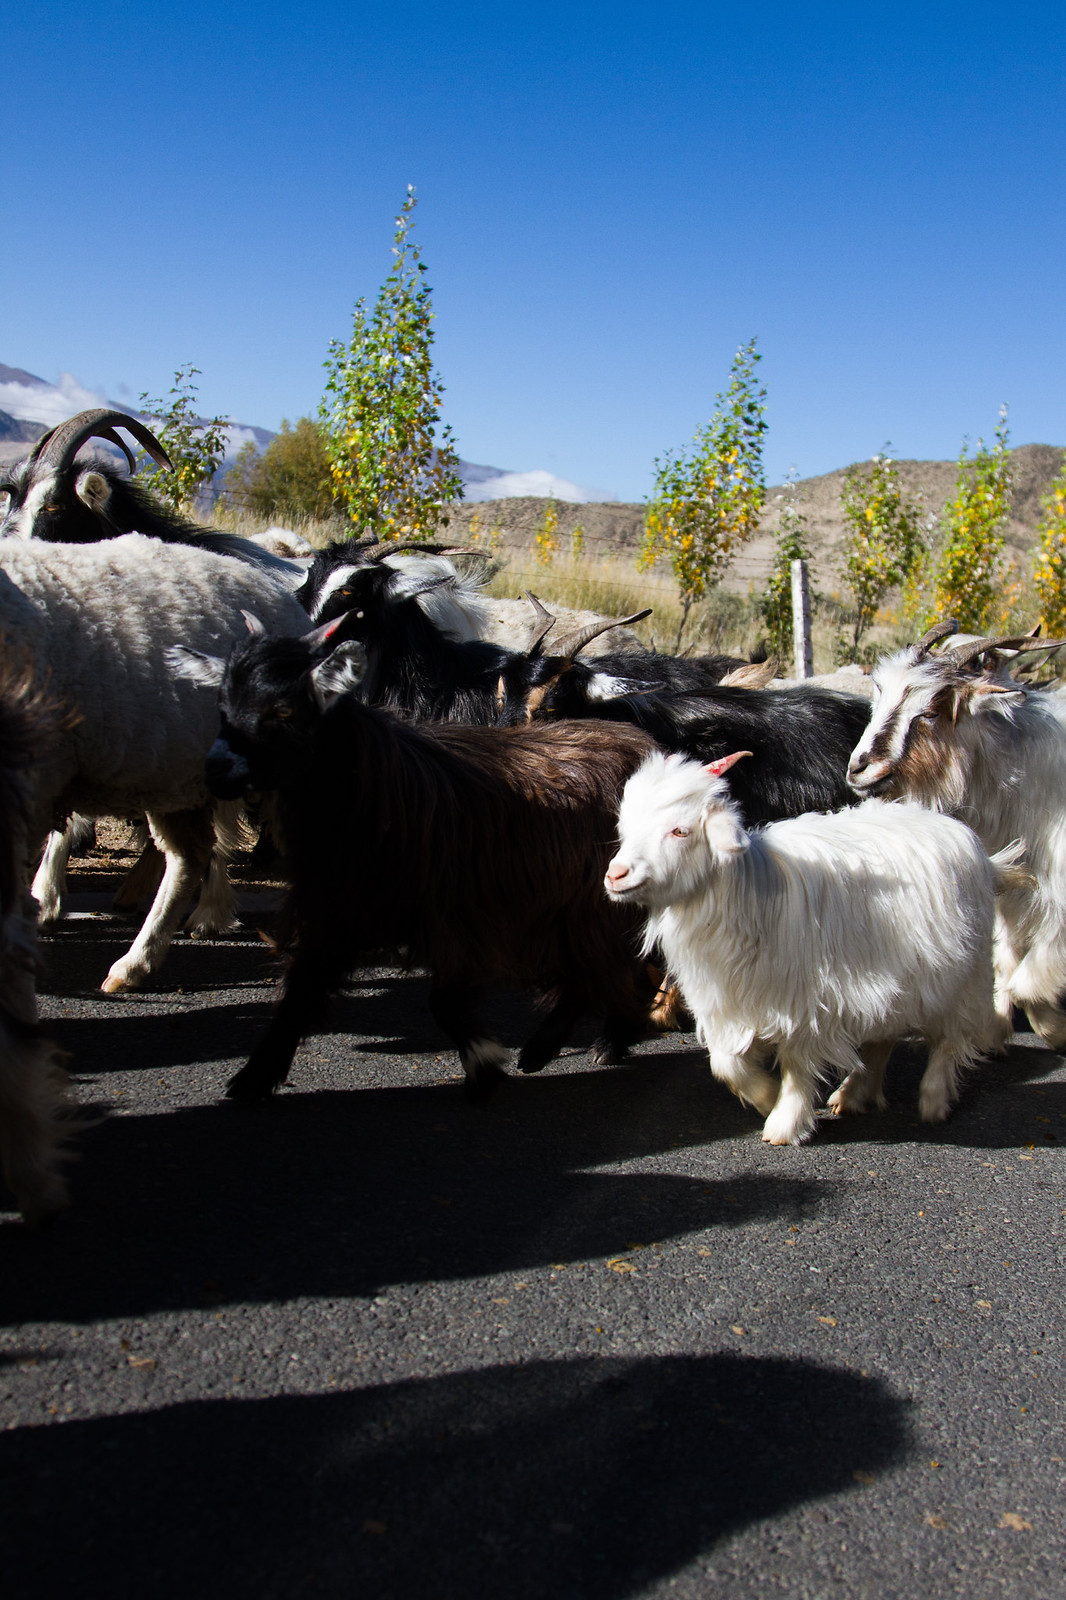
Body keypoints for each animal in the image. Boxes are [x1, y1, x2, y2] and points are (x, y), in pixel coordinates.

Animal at [170, 620, 661, 1101]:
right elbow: (301, 992)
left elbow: (443, 1002)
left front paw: (485, 1063)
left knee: (612, 969)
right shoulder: (342, 909)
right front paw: (251, 1080)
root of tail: (644, 743)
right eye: (223, 705)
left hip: (594, 907)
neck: (376, 786)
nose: (216, 771)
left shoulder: (464, 917)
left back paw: (567, 1045)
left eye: (284, 711)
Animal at [605, 749, 1016, 1145]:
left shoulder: (808, 1005)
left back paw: (933, 1100)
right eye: (628, 827)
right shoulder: (725, 1005)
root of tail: (965, 836)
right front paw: (765, 1097)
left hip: (963, 974)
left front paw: (783, 1121)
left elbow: (798, 1066)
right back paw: (855, 1093)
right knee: (883, 1037)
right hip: (894, 980)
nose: (615, 875)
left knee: (948, 1039)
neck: (750, 900)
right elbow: (726, 1065)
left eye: (680, 831)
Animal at [847, 621, 1066, 1047]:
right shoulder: (1016, 895)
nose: (858, 768)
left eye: (931, 712)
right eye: (879, 692)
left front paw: (1053, 1030)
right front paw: (998, 1030)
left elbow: (1031, 977)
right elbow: (1010, 962)